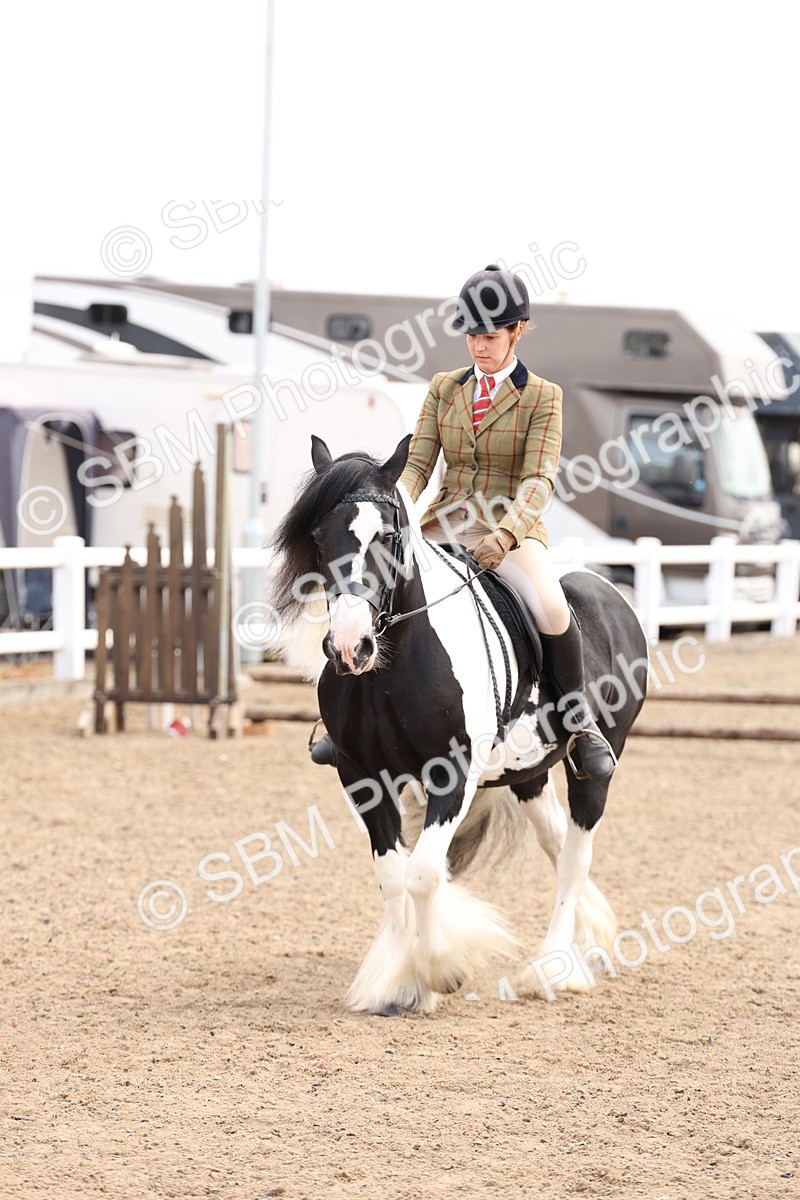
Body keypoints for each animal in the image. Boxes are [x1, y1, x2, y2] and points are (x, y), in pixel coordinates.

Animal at [270, 434, 649, 1015]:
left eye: (389, 535)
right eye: (316, 536)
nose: (350, 647)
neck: (392, 667)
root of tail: (609, 593)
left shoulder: (451, 774)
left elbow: (424, 874)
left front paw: (440, 970)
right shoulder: (362, 778)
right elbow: (393, 877)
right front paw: (399, 984)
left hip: (596, 767)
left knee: (574, 854)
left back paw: (553, 969)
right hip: (528, 773)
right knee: (555, 840)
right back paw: (589, 938)